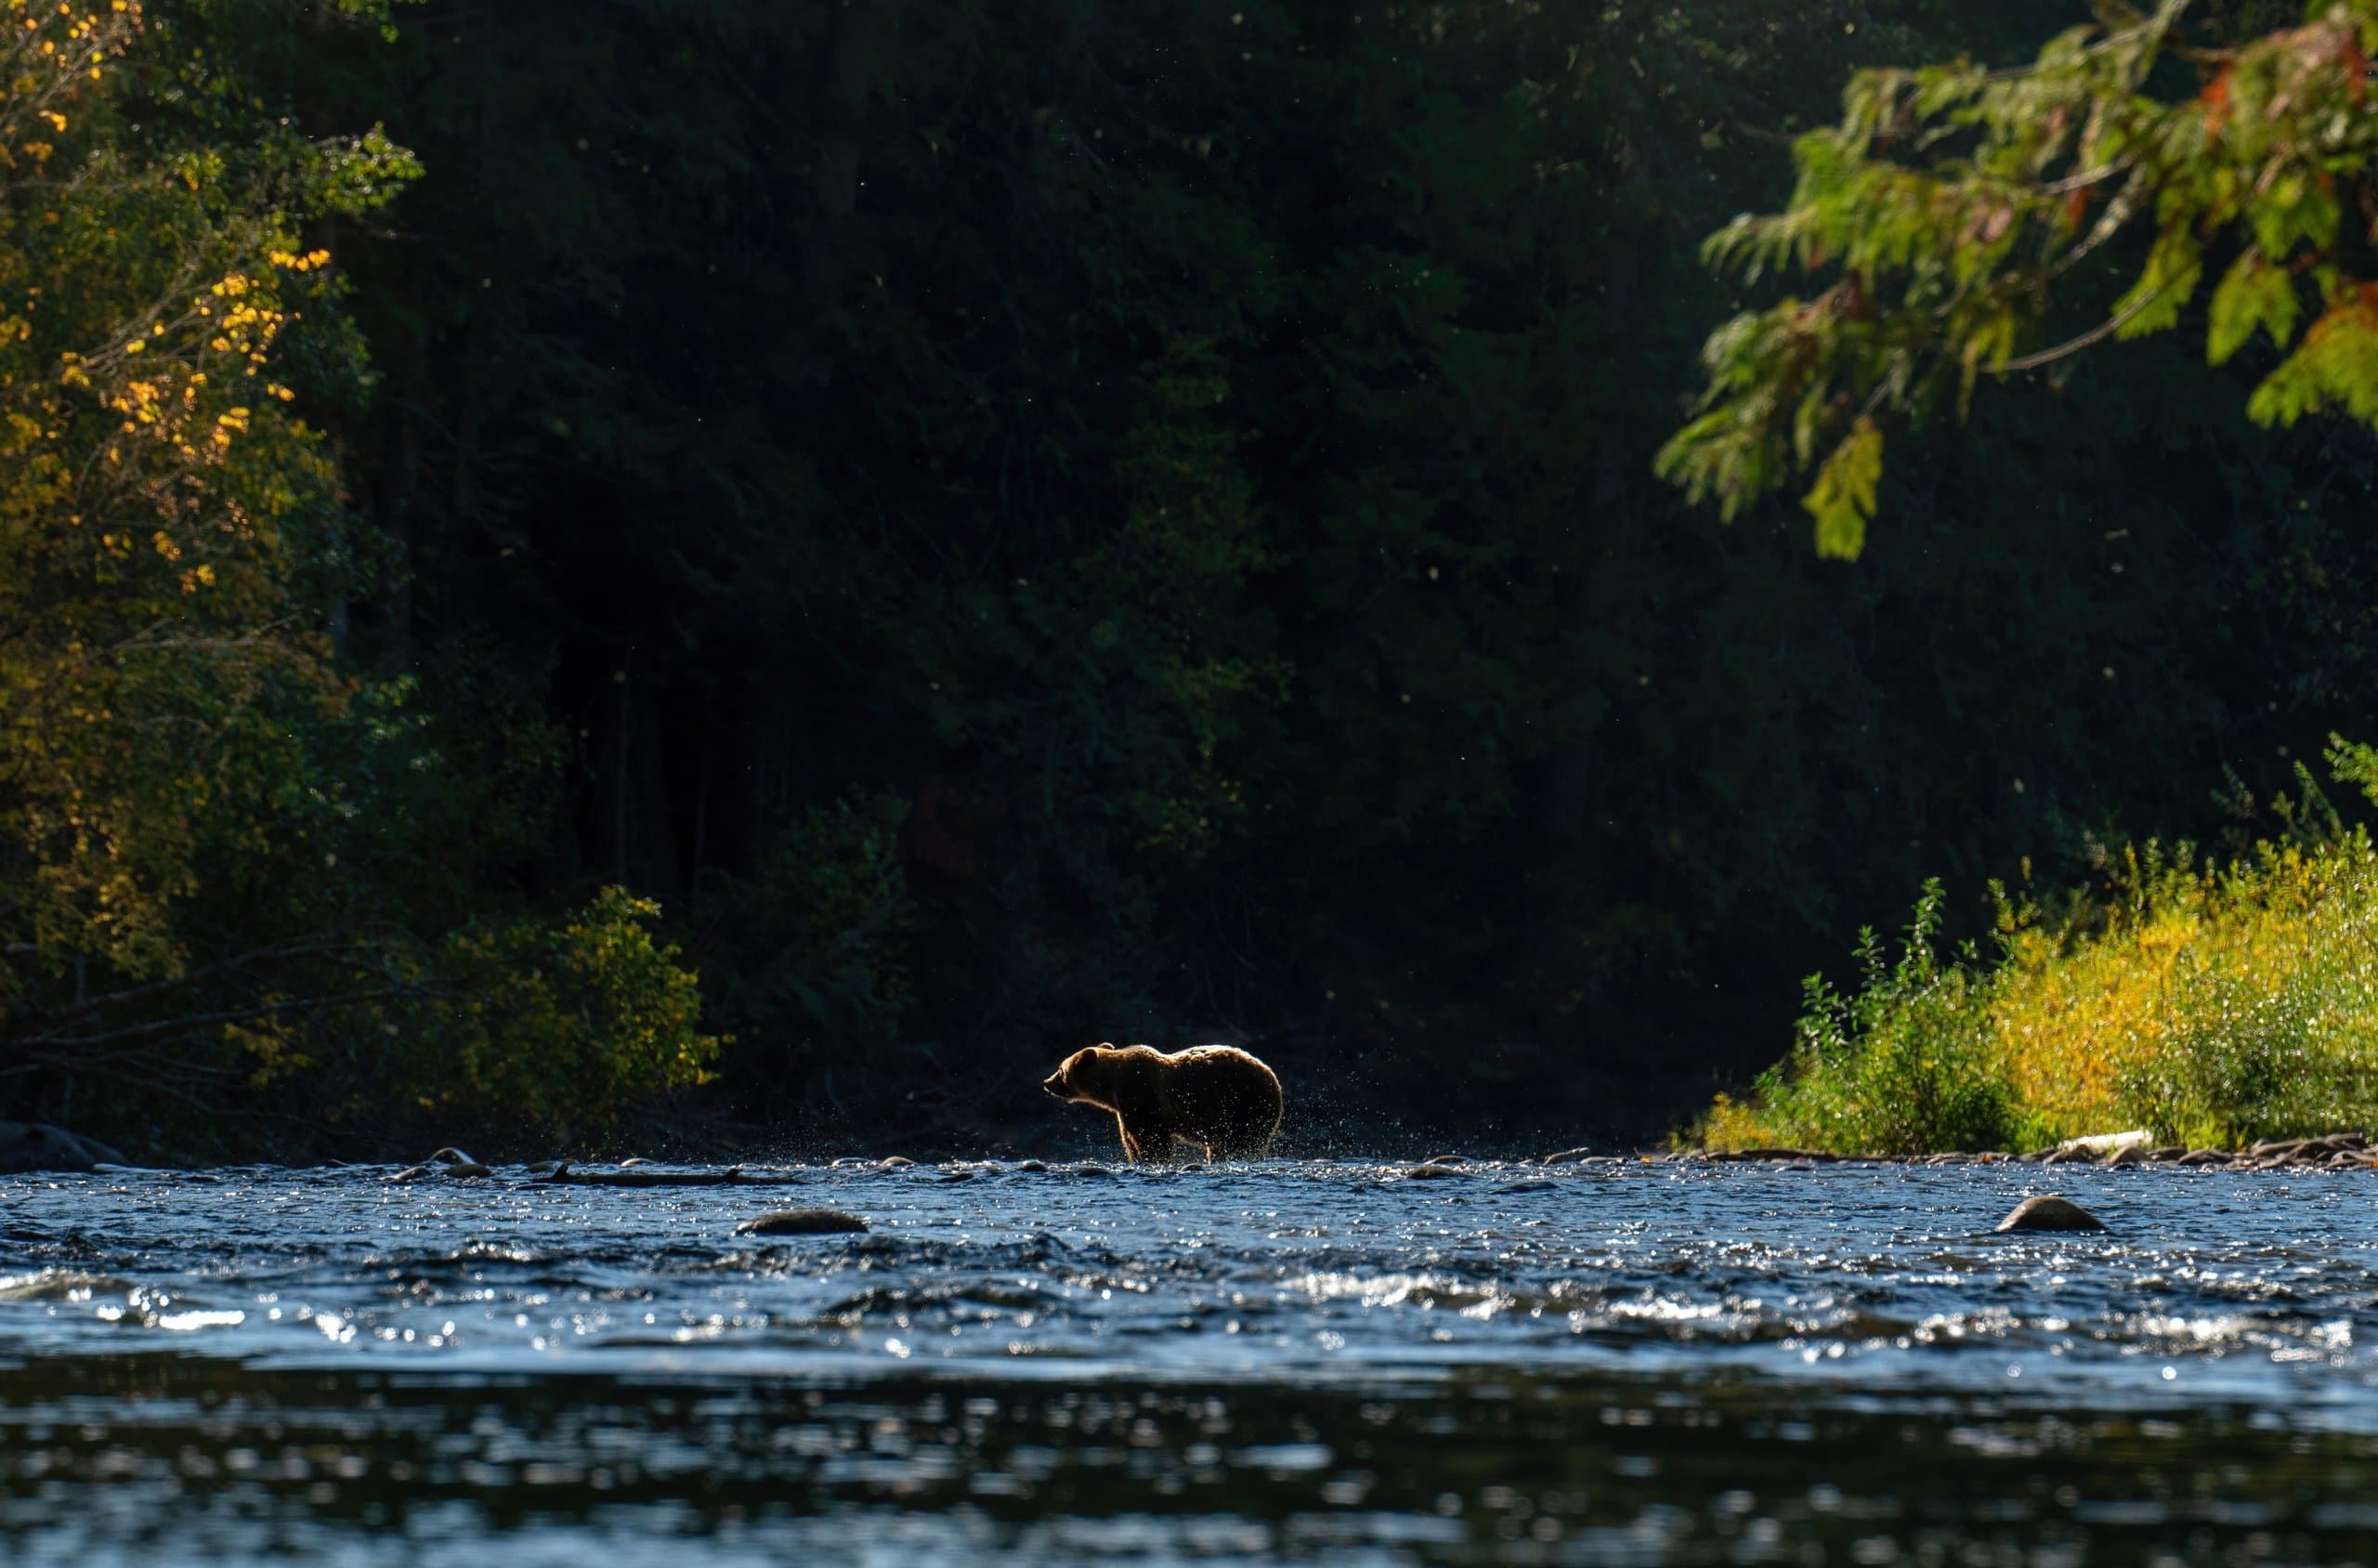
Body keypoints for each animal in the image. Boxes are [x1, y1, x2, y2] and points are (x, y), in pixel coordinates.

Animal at [1041, 1043, 1283, 1163]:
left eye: (1061, 1070)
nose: (1046, 1082)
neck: (1112, 1087)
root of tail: (1273, 1078)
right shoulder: (1124, 1109)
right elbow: (1129, 1138)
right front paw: (1136, 1158)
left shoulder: (1141, 1097)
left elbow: (1152, 1137)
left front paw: (1154, 1158)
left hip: (1242, 1104)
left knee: (1237, 1142)